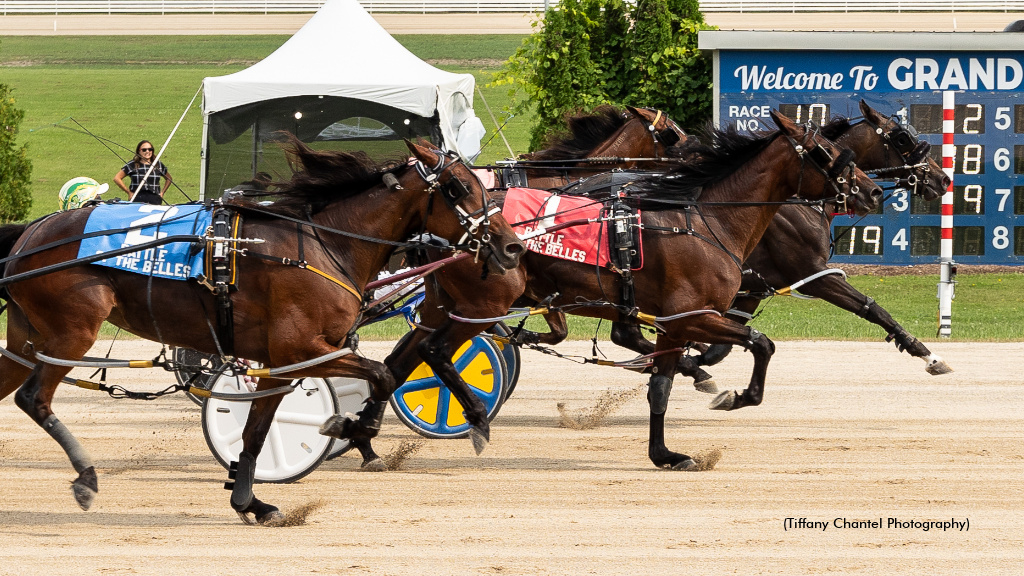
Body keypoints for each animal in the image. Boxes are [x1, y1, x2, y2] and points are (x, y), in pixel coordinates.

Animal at [0, 136, 524, 522]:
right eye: (456, 188)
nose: (512, 247)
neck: (323, 243)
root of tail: (30, 233)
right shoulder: (303, 348)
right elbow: (382, 374)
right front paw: (350, 426)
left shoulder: (282, 360)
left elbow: (256, 431)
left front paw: (249, 498)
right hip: (72, 332)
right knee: (34, 398)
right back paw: (86, 478)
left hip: (25, 340)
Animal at [512, 109, 880, 469]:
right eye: (825, 151)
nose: (872, 190)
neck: (708, 223)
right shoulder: (690, 316)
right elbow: (761, 343)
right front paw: (735, 396)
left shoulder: (676, 324)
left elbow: (661, 387)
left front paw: (664, 454)